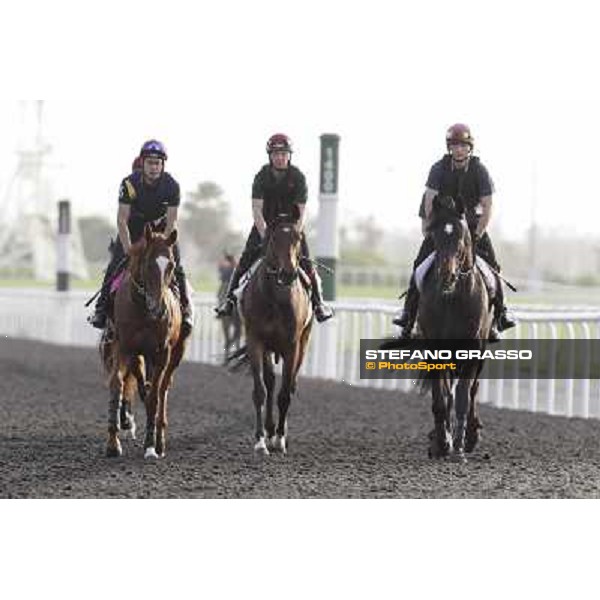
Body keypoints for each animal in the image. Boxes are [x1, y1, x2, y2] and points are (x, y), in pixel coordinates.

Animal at [101, 225, 190, 460]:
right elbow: (117, 384)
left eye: (170, 265)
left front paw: (150, 446)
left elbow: (154, 397)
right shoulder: (124, 347)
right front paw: (112, 443)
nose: (158, 308)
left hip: (176, 353)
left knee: (163, 389)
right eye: (149, 262)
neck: (142, 309)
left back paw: (159, 441)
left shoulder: (162, 352)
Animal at [418, 196, 492, 460]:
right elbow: (441, 398)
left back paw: (471, 435)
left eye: (461, 235)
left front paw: (459, 445)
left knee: (471, 391)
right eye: (435, 236)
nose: (446, 275)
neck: (452, 299)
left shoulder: (472, 351)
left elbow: (462, 397)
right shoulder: (434, 351)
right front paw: (441, 442)